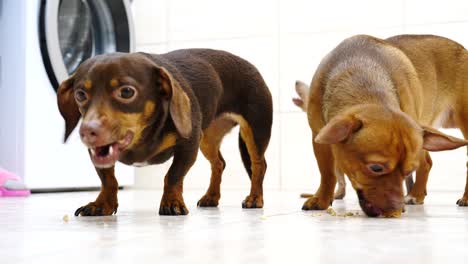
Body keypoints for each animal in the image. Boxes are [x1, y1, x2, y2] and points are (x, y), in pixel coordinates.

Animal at [56, 49, 272, 214]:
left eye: (127, 92)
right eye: (80, 94)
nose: (87, 132)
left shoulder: (189, 144)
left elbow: (173, 175)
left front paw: (172, 202)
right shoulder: (100, 154)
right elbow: (108, 180)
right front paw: (102, 204)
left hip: (255, 131)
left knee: (259, 165)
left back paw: (255, 198)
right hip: (208, 139)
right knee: (219, 163)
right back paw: (211, 197)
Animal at [294, 34, 468, 217]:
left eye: (407, 171)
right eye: (376, 168)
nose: (397, 211)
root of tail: (463, 49)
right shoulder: (319, 138)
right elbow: (327, 173)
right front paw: (322, 199)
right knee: (427, 162)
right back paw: (416, 195)